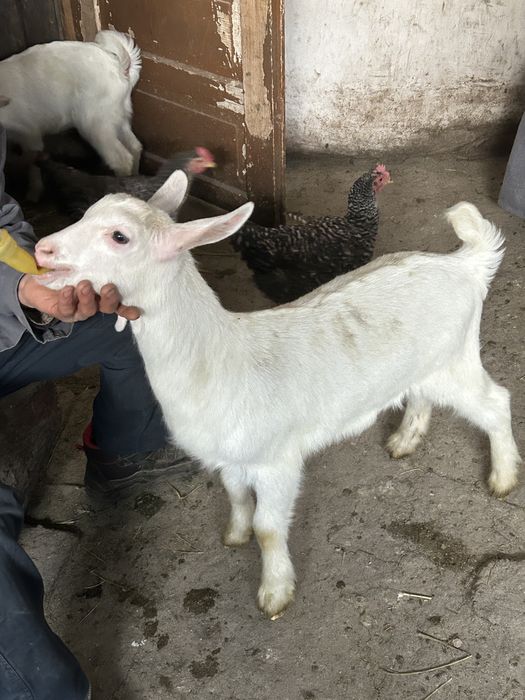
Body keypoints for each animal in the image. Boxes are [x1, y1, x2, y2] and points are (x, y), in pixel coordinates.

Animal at [0, 30, 142, 197]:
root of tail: (119, 67)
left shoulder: (29, 132)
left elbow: (33, 163)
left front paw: (33, 193)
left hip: (95, 121)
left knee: (121, 159)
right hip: (119, 115)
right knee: (135, 146)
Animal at [34, 172, 521, 618]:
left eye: (120, 236)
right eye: (88, 211)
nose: (42, 250)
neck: (223, 361)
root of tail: (466, 263)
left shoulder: (277, 460)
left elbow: (269, 528)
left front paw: (274, 591)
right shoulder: (231, 456)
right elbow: (235, 495)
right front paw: (235, 534)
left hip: (456, 357)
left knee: (496, 402)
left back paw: (502, 476)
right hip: (426, 366)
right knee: (420, 395)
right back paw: (405, 440)